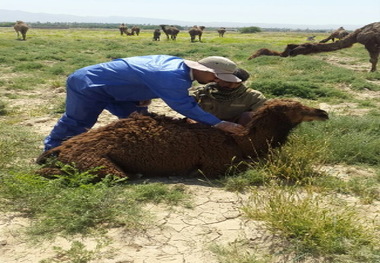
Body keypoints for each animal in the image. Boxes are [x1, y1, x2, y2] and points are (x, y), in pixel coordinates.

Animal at [37, 100, 328, 180]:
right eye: (294, 107)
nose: (323, 112)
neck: (242, 142)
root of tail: (62, 148)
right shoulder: (217, 166)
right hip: (98, 163)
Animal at [248, 21, 378, 72]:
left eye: (305, 46)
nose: (291, 53)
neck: (355, 36)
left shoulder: (371, 44)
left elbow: (373, 60)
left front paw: (371, 72)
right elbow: (374, 60)